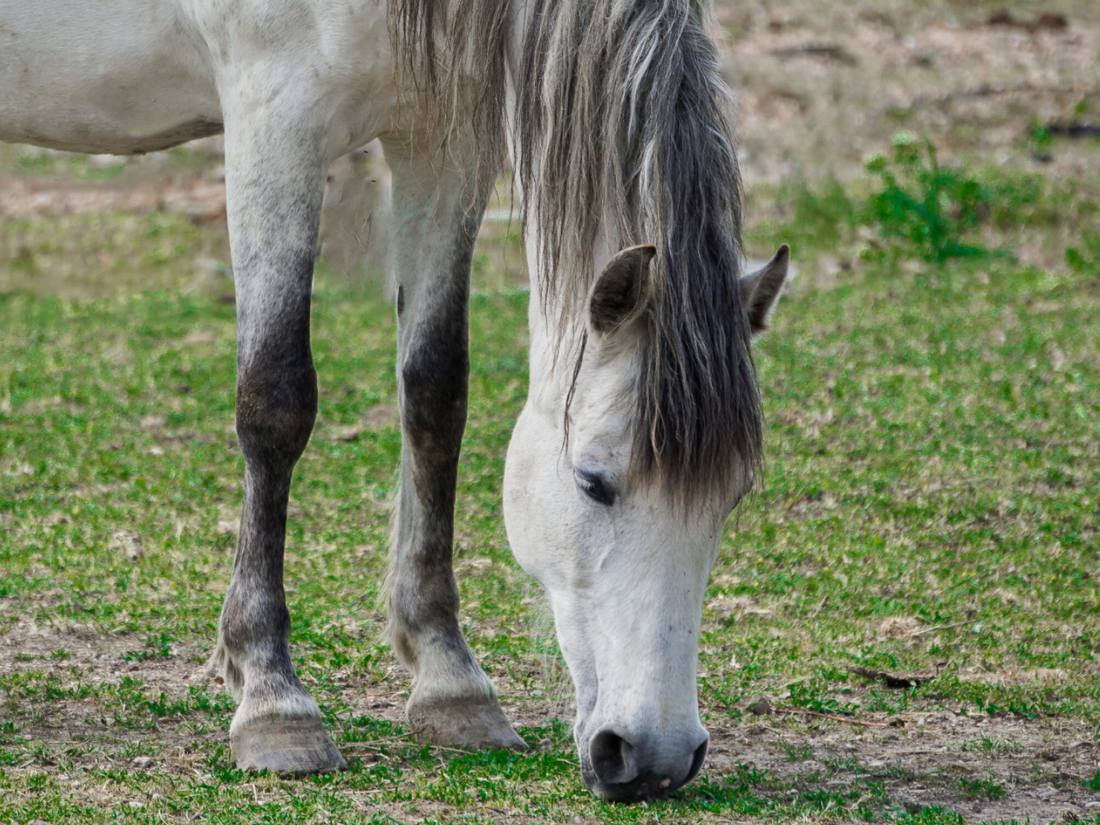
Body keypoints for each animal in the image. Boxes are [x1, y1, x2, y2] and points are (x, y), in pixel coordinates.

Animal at [0, 0, 789, 803]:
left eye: (731, 498)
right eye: (593, 482)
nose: (655, 757)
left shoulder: (442, 140)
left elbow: (436, 391)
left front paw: (452, 683)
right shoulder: (274, 117)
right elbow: (275, 400)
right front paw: (273, 698)